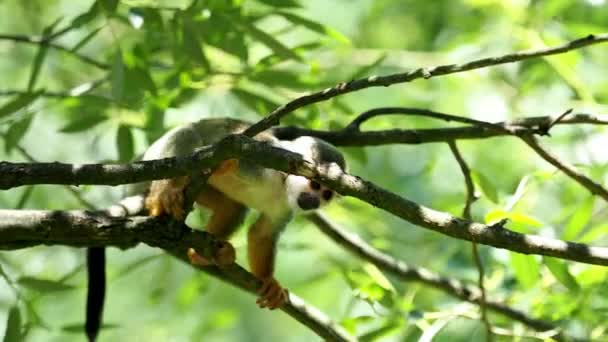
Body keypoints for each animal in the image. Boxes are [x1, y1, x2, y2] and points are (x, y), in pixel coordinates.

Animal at [142, 118, 346, 310]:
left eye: (326, 194)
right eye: (315, 185)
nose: (314, 201)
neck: (282, 184)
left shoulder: (287, 206)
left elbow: (261, 234)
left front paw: (268, 281)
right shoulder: (264, 160)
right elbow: (221, 156)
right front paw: (222, 164)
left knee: (232, 207)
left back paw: (205, 253)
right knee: (186, 138)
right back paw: (163, 194)